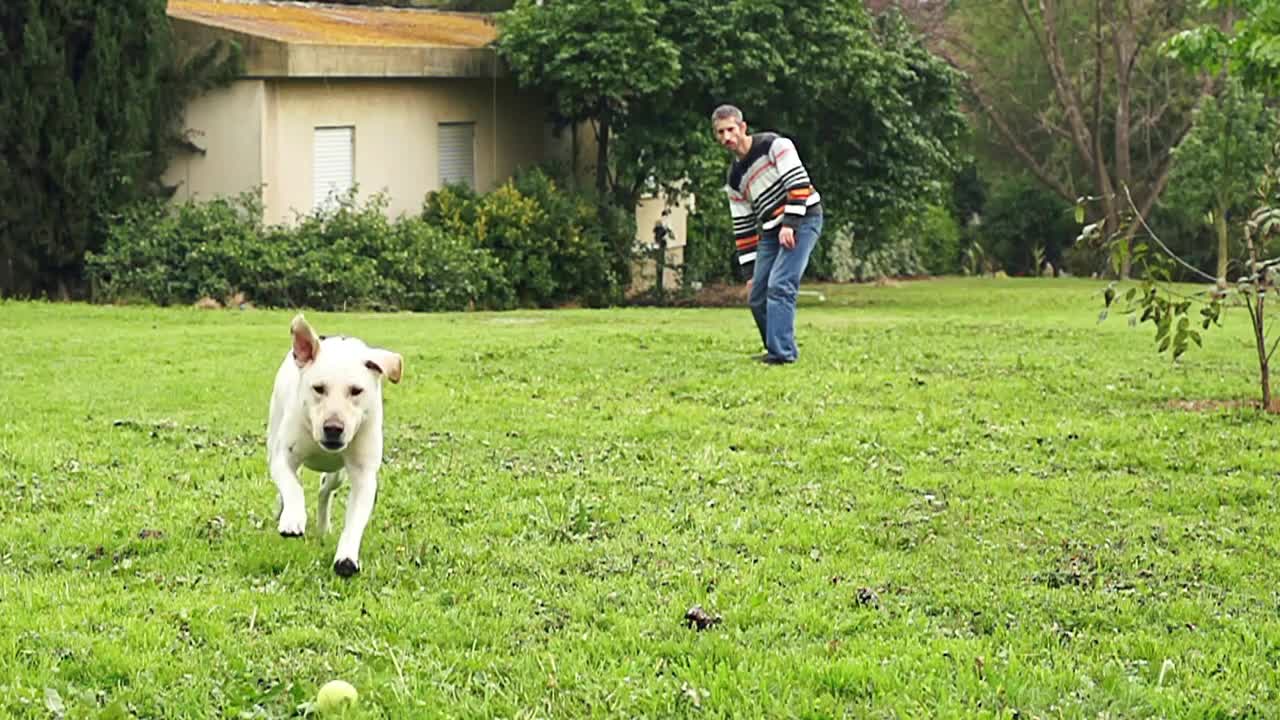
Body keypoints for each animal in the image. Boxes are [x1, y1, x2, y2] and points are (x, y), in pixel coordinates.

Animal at [270, 311, 404, 573]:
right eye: (318, 388)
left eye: (356, 391)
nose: (333, 428)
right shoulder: (284, 457)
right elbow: (292, 485)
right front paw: (293, 518)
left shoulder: (364, 474)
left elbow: (356, 518)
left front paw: (347, 558)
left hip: (337, 474)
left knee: (325, 491)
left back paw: (323, 527)